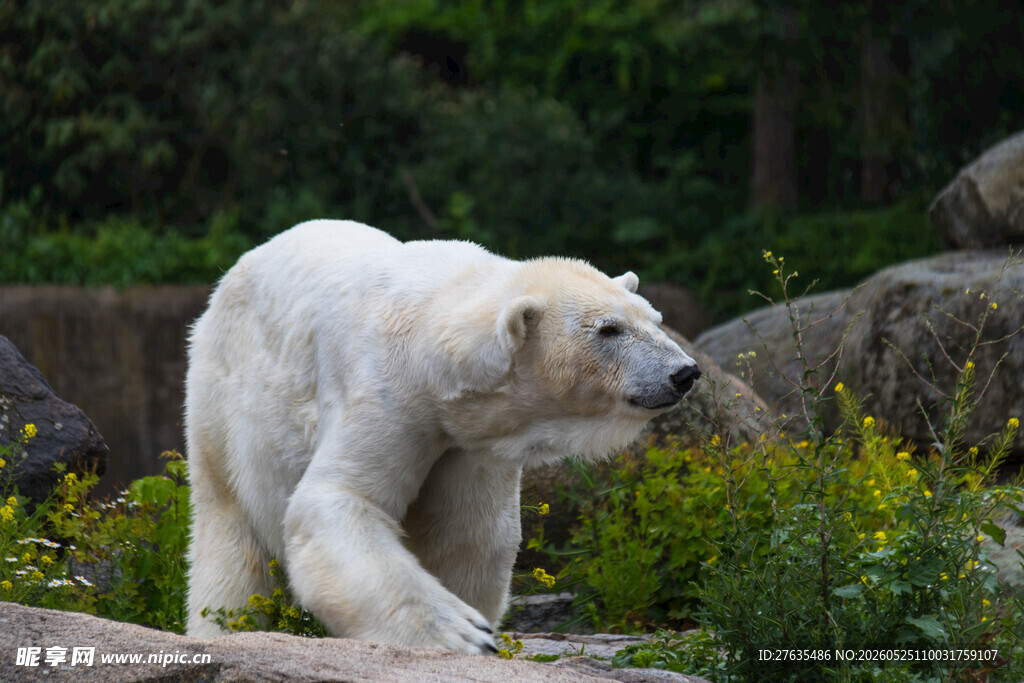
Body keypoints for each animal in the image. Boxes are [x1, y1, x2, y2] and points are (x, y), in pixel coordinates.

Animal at [184, 219, 699, 653]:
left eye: (653, 319)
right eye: (608, 329)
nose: (685, 372)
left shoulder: (469, 439)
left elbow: (468, 536)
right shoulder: (390, 393)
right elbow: (338, 500)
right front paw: (463, 634)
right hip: (223, 393)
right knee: (227, 528)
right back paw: (222, 628)